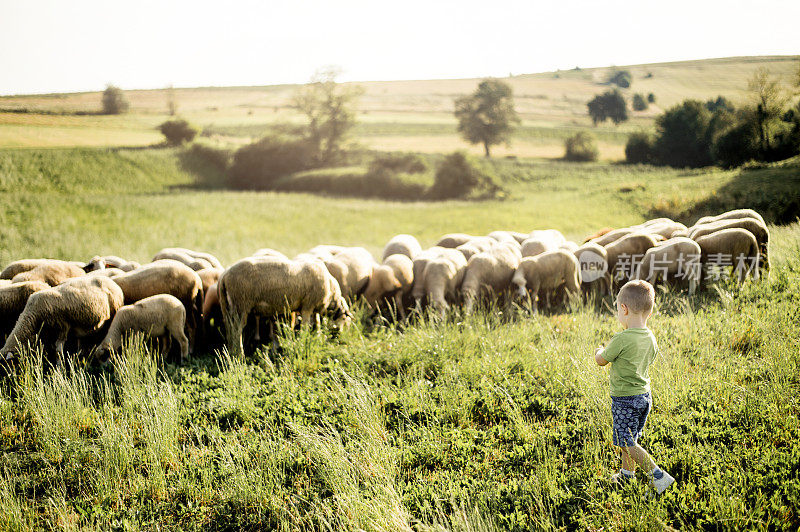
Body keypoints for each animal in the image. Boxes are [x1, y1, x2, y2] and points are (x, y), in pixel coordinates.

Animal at [217, 258, 348, 358]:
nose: (339, 335)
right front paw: (303, 340)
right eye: (345, 319)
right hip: (241, 304)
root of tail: (224, 276)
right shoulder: (307, 306)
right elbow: (305, 326)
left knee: (229, 329)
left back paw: (230, 352)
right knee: (236, 331)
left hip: (227, 306)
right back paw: (239, 354)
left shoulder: (313, 307)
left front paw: (317, 336)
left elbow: (317, 322)